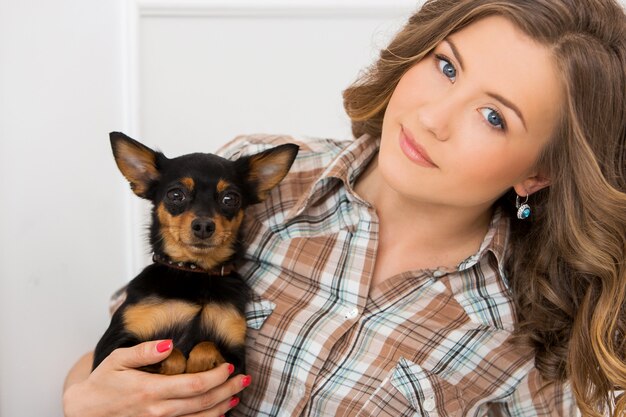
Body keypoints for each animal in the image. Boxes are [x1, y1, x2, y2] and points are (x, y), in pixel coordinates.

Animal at [92, 132, 298, 376]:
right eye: (175, 195)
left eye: (230, 199)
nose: (203, 226)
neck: (194, 271)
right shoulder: (113, 349)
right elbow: (172, 351)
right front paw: (177, 366)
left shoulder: (237, 360)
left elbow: (206, 345)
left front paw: (196, 366)